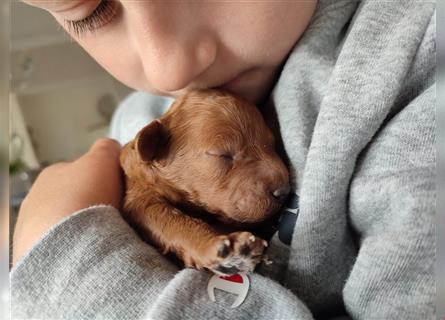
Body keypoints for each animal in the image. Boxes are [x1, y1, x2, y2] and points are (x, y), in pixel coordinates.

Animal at [119, 89, 290, 276]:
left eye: (271, 144)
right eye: (222, 154)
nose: (284, 191)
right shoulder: (141, 199)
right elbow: (173, 221)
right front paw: (228, 249)